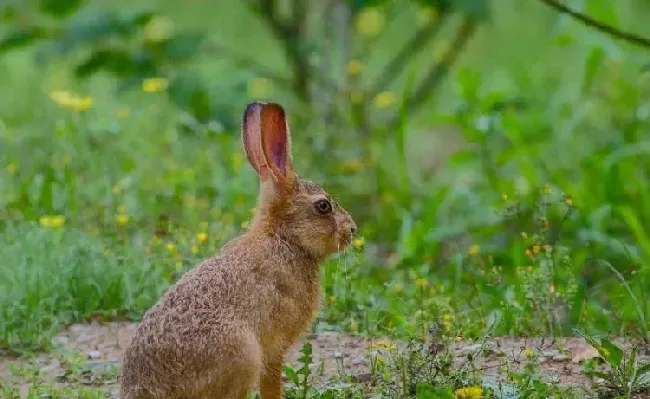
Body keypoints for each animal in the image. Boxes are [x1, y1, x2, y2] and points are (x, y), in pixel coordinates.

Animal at [119, 102, 356, 399]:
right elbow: (271, 381)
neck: (285, 238)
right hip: (243, 354)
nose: (352, 230)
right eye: (324, 206)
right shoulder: (273, 346)